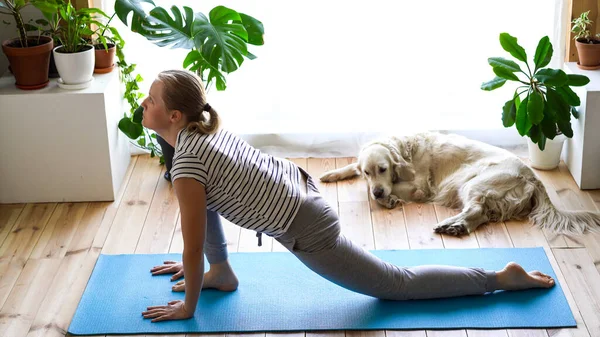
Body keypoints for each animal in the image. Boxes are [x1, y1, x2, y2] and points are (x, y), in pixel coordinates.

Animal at [318, 131, 600, 236]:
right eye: (368, 171)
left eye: (383, 169)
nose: (379, 192)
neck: (404, 150)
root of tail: (534, 177)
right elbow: (353, 171)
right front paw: (332, 174)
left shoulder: (420, 187)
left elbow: (372, 191)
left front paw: (388, 198)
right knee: (481, 215)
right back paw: (457, 227)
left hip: (473, 183)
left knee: (476, 209)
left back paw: (452, 225)